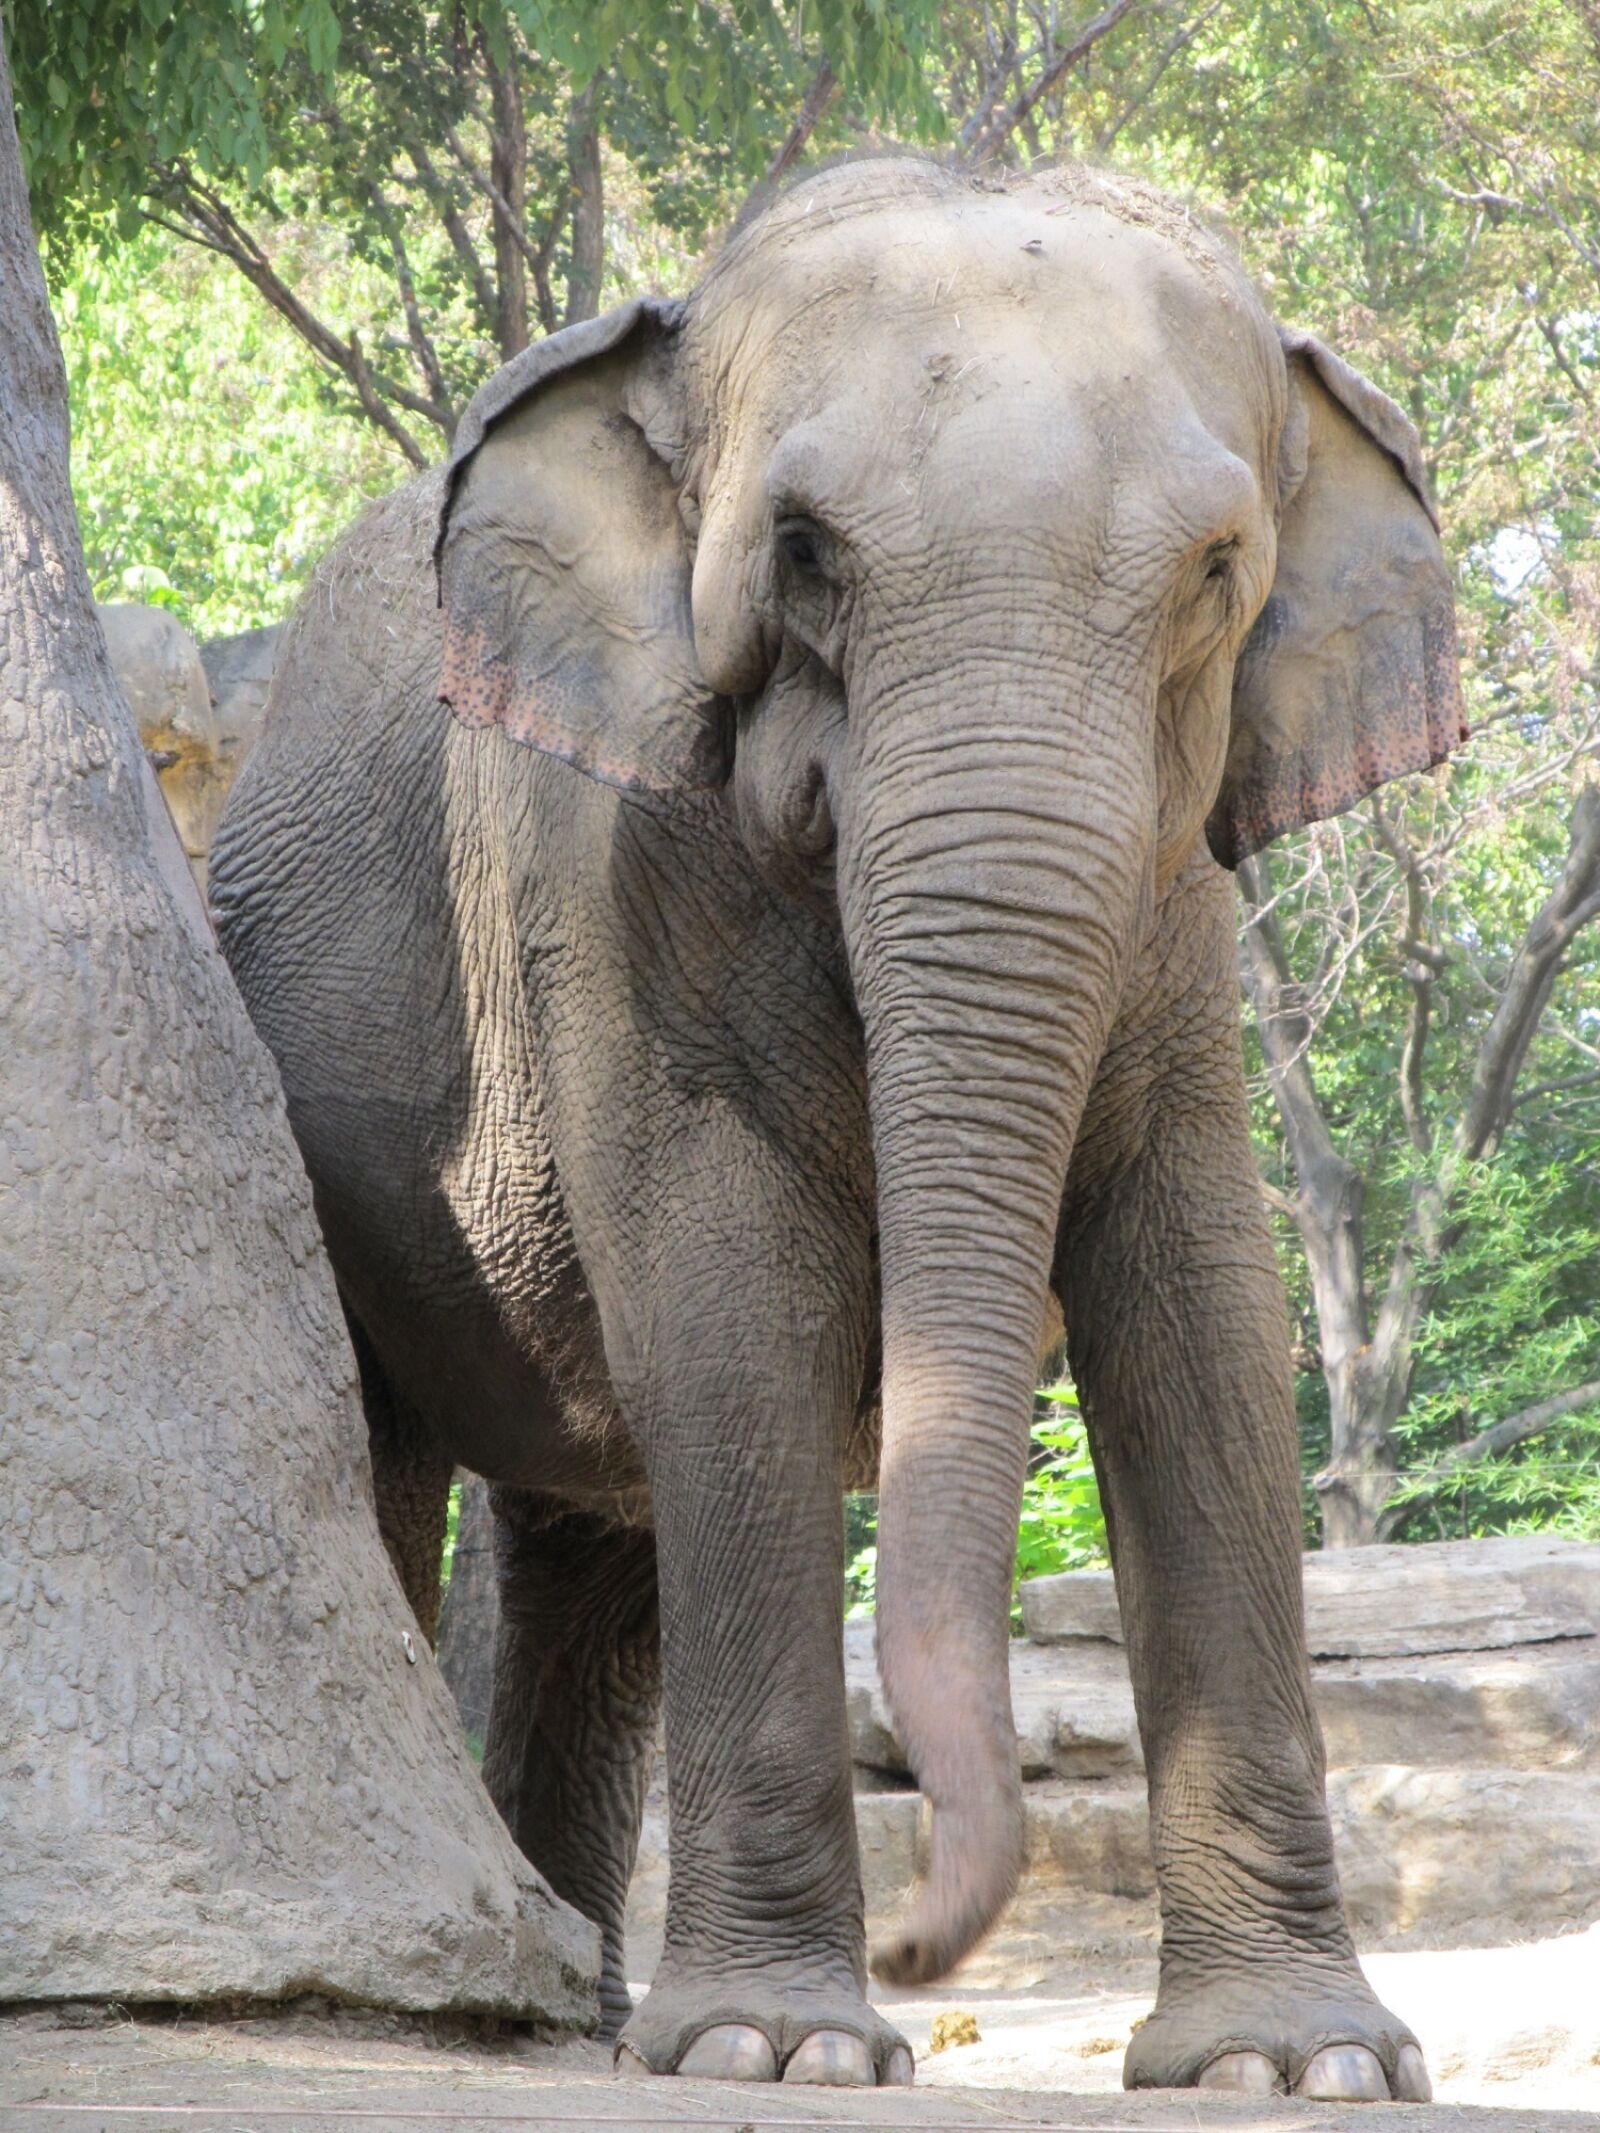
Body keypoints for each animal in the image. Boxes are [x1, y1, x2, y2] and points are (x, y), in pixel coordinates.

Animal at [209, 155, 1463, 2097]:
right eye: (802, 557)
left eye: (1218, 572)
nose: (922, 1951)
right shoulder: (606, 881)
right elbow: (737, 1320)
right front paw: (772, 2050)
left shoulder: (1177, 917)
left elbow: (1206, 1331)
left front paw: (1297, 2066)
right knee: (398, 1460)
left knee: (597, 1551)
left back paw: (583, 2011)